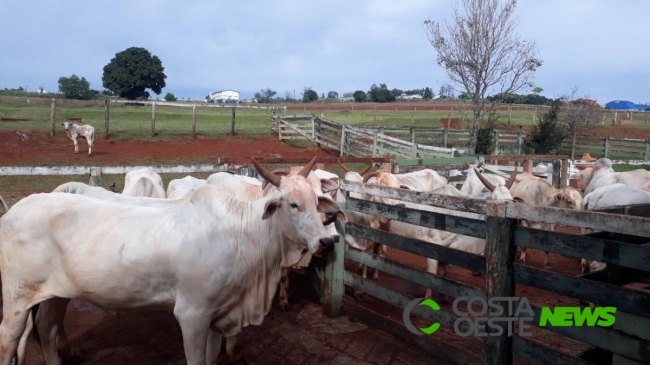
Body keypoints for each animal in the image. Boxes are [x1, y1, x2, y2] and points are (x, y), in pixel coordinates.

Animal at [1, 158, 344, 364]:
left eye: (317, 201)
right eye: (293, 205)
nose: (327, 241)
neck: (241, 232)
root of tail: (15, 210)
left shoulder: (219, 315)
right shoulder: (192, 316)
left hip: (55, 294)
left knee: (47, 328)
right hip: (17, 299)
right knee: (9, 338)